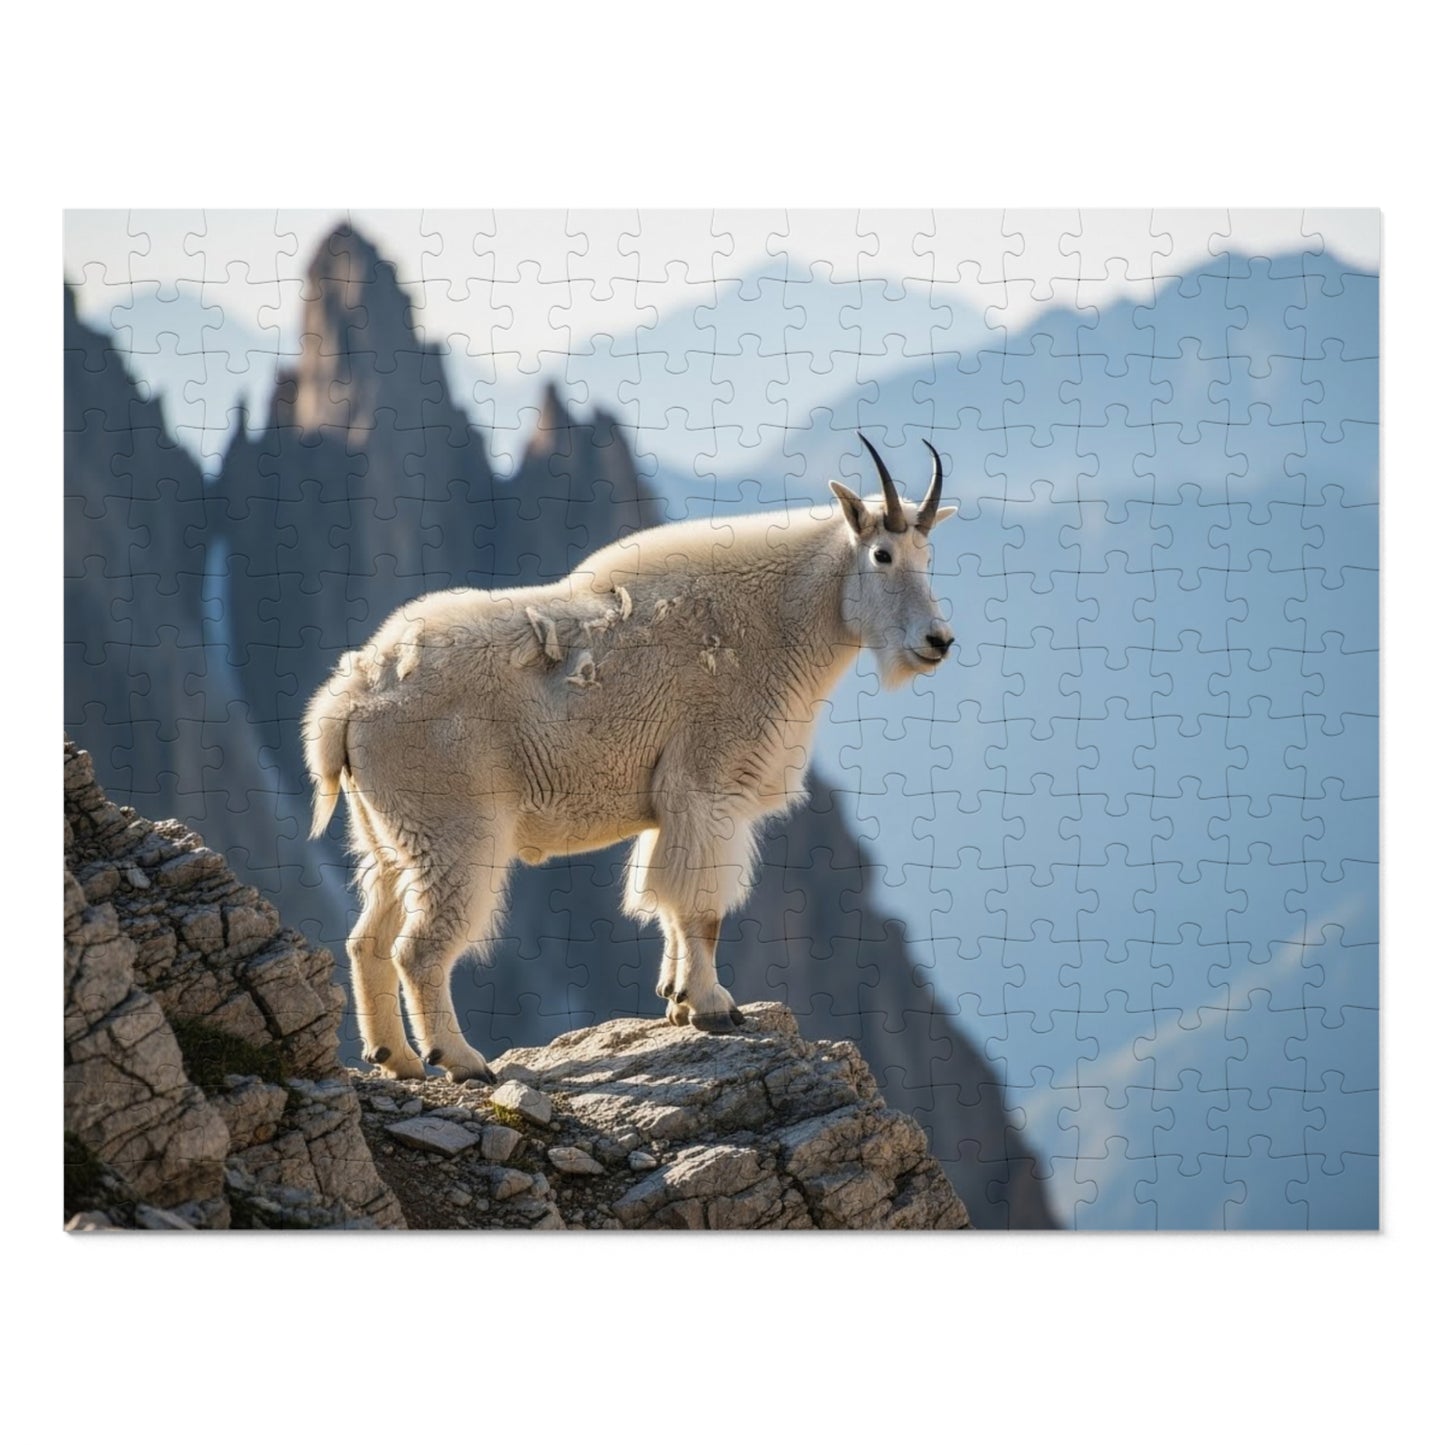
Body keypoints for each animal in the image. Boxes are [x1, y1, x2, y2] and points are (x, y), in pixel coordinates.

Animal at [303, 435, 958, 1081]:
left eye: (928, 556)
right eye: (882, 555)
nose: (938, 641)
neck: (776, 622)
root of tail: (348, 700)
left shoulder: (674, 803)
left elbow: (666, 899)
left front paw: (676, 999)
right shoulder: (708, 782)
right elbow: (701, 908)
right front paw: (713, 1007)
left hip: (388, 835)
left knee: (367, 939)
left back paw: (396, 1058)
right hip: (452, 830)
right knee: (419, 948)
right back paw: (460, 1061)